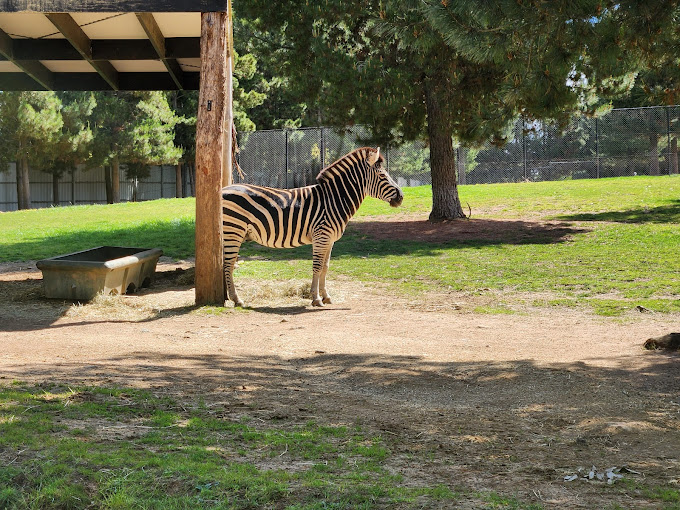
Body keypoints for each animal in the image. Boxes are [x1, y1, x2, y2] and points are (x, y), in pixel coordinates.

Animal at [222, 147, 404, 306]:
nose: (401, 197)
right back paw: (236, 299)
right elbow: (317, 266)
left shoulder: (330, 240)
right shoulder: (321, 236)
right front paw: (316, 299)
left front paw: (326, 296)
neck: (334, 199)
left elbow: (325, 266)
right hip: (233, 231)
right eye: (382, 175)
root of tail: (223, 189)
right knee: (228, 265)